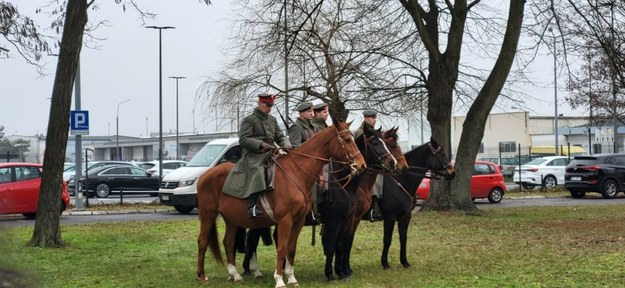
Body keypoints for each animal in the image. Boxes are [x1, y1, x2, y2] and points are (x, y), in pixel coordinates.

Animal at [195, 121, 366, 288]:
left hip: (231, 219)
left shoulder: (299, 221)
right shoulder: (287, 220)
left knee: (229, 243)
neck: (296, 173)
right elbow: (282, 248)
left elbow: (291, 248)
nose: (361, 165)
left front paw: (291, 278)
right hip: (208, 214)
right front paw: (279, 279)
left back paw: (235, 275)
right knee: (203, 241)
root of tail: (204, 175)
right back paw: (202, 276)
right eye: (346, 140)